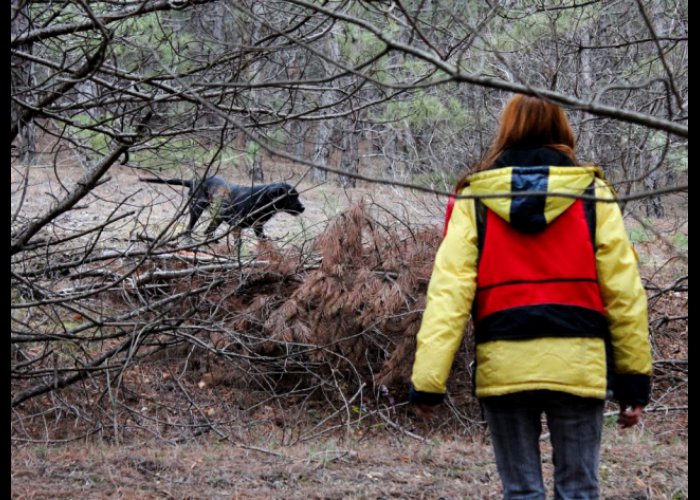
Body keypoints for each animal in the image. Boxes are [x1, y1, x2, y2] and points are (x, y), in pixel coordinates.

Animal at [141, 177, 304, 243]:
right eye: (292, 197)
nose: (303, 208)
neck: (261, 200)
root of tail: (194, 180)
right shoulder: (237, 227)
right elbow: (239, 243)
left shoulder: (258, 227)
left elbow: (263, 240)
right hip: (197, 208)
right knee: (189, 228)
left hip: (216, 217)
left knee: (207, 231)